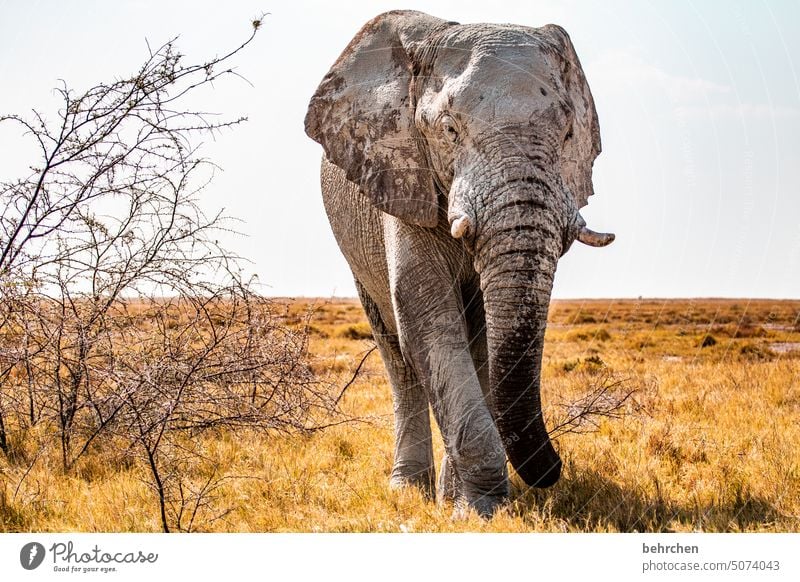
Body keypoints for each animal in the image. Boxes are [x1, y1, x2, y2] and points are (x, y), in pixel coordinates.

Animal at [304, 10, 612, 520]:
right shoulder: (404, 179)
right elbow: (427, 322)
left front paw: (467, 505)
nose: (555, 471)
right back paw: (408, 489)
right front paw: (481, 512)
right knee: (397, 353)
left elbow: (486, 340)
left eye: (569, 133)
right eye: (448, 130)